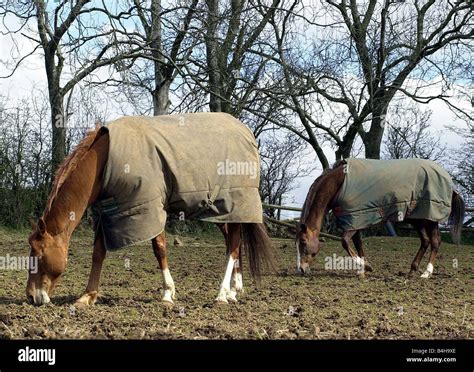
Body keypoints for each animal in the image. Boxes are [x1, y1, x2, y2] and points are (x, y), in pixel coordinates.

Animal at [25, 113, 274, 306]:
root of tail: (246, 132)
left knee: (233, 245)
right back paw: (234, 290)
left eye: (38, 254)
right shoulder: (108, 214)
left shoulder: (151, 207)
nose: (30, 296)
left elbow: (159, 249)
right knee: (235, 244)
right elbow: (98, 253)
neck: (104, 160)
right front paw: (87, 296)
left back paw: (222, 294)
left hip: (233, 204)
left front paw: (167, 293)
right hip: (223, 213)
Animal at [298, 158, 464, 278]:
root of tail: (448, 181)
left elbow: (345, 242)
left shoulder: (355, 219)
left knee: (435, 242)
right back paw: (412, 271)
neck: (340, 183)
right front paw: (362, 269)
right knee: (425, 241)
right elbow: (358, 244)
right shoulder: (355, 219)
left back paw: (426, 273)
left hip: (430, 217)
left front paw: (365, 266)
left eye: (303, 243)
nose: (301, 269)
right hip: (417, 218)